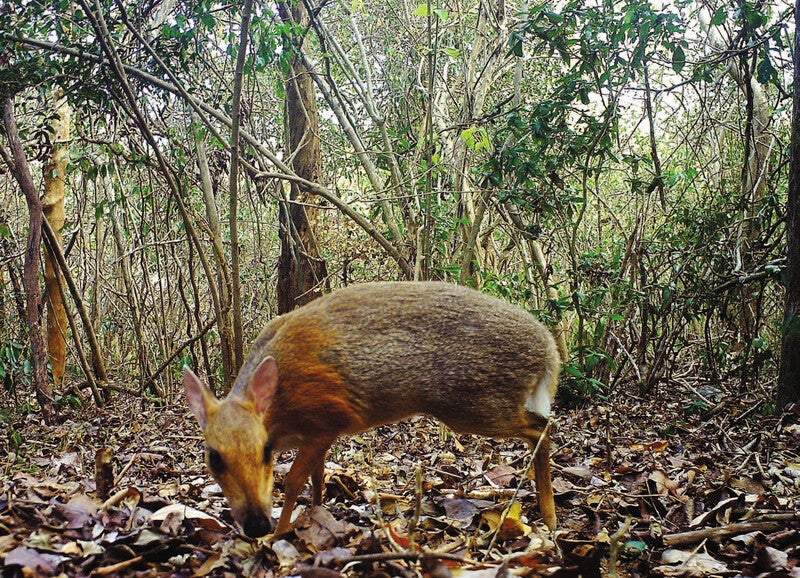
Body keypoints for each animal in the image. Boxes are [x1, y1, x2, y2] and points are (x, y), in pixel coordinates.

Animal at [184, 280, 560, 536]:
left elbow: (292, 482)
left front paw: (280, 535)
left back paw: (550, 515)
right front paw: (315, 516)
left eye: (265, 451)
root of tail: (549, 350)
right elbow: (317, 479)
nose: (256, 524)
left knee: (541, 426)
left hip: (474, 403)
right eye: (213, 457)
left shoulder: (325, 418)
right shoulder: (319, 434)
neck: (278, 412)